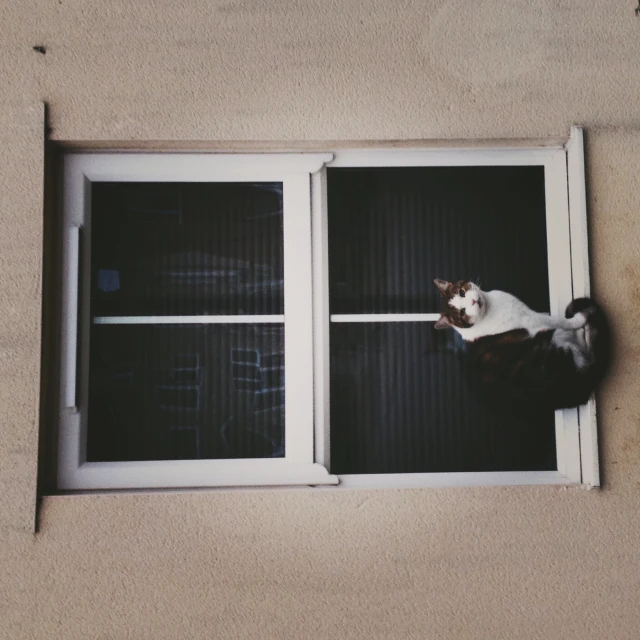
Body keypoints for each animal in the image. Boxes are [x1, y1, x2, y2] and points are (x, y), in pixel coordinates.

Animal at [436, 278, 608, 410]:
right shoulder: (534, 320)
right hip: (553, 341)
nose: (473, 301)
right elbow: (560, 320)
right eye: (462, 313)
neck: (491, 305)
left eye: (462, 292)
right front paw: (578, 320)